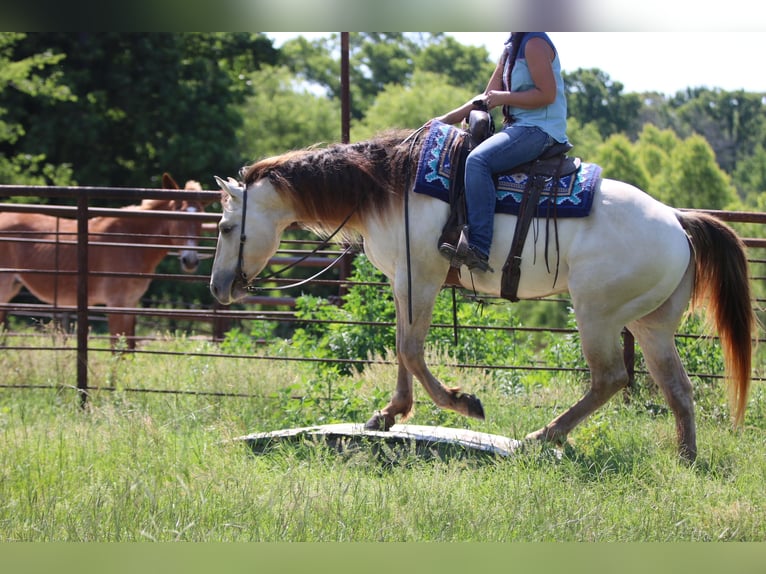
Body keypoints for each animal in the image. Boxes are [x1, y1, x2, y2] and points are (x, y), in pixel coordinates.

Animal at [0, 173, 206, 349]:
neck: (132, 241)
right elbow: (117, 350)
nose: (190, 260)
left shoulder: (130, 304)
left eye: (201, 220)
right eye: (178, 216)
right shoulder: (116, 304)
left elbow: (129, 348)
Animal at [208, 129, 755, 462]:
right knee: (676, 386)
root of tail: (678, 220)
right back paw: (685, 457)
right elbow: (402, 350)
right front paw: (388, 414)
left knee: (610, 378)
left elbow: (411, 350)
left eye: (226, 226)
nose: (218, 287)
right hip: (650, 323)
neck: (389, 187)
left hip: (597, 313)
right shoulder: (405, 280)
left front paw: (462, 402)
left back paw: (541, 437)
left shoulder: (424, 276)